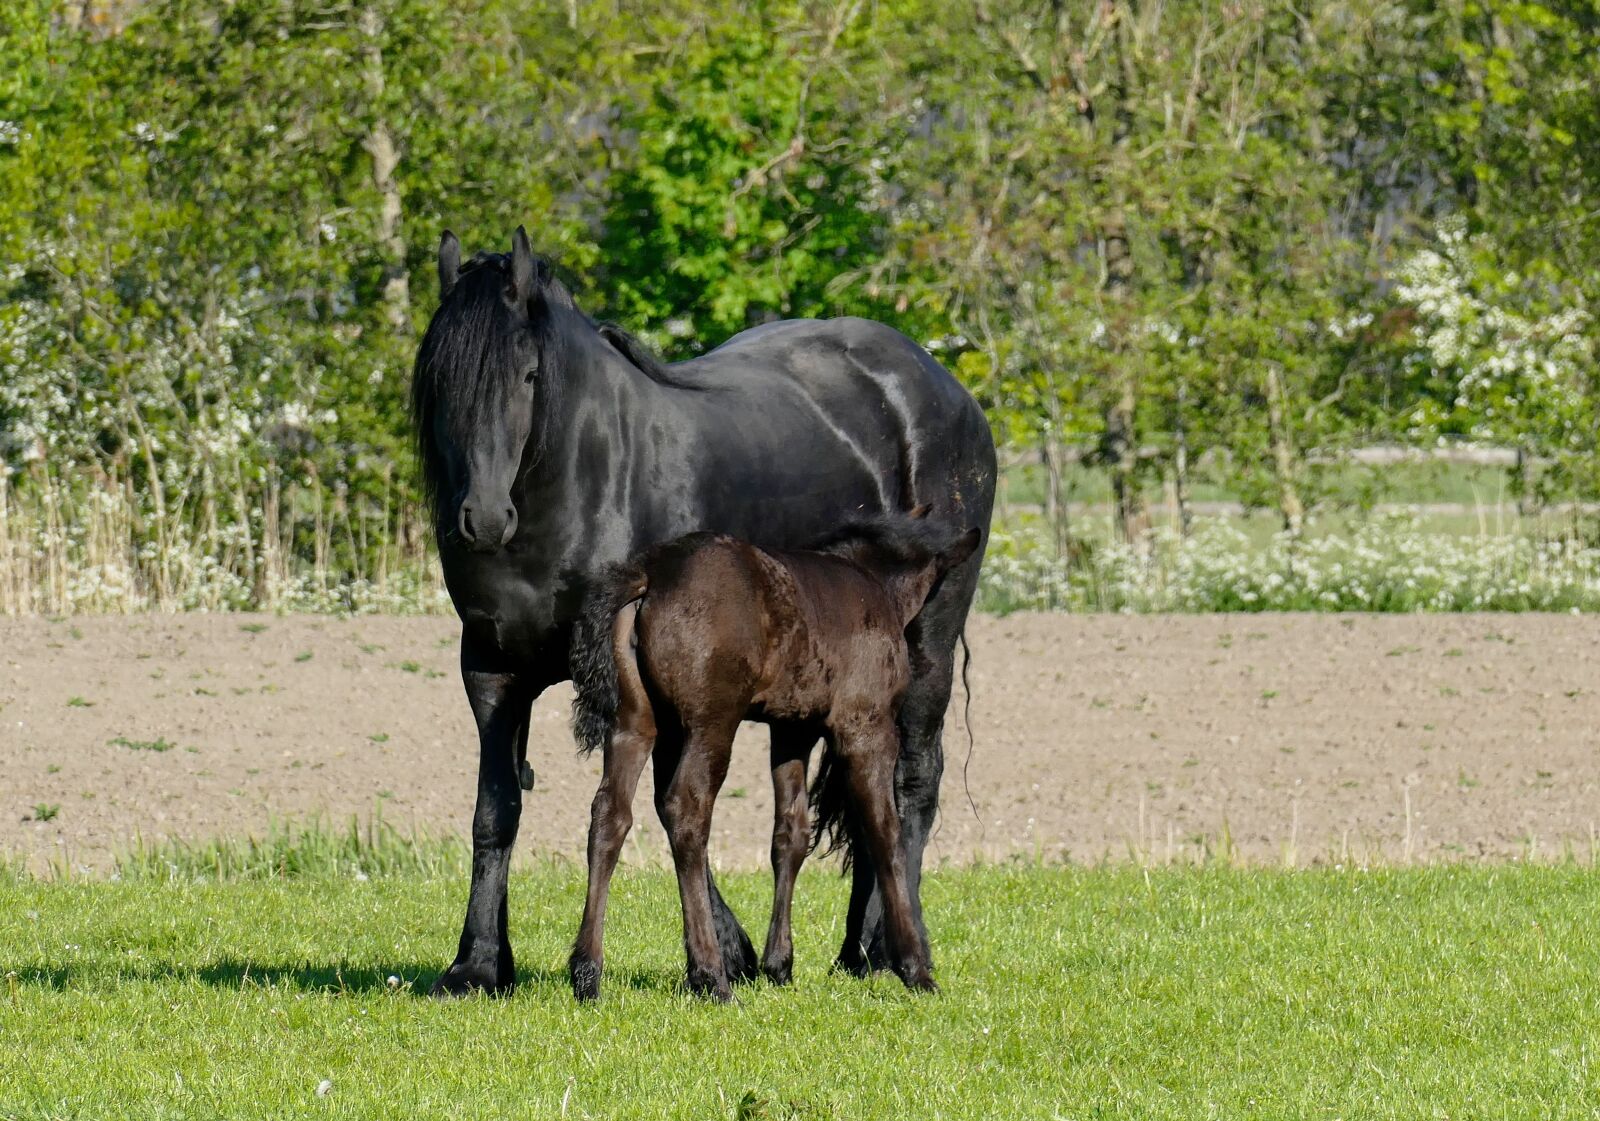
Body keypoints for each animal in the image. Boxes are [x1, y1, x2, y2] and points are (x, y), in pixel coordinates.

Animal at [566, 514, 982, 1002]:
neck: (873, 584)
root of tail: (650, 575)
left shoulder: (791, 729)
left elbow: (791, 834)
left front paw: (779, 964)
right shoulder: (866, 725)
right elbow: (885, 831)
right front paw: (915, 968)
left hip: (636, 721)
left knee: (610, 813)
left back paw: (587, 974)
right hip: (712, 720)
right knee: (686, 808)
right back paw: (711, 976)